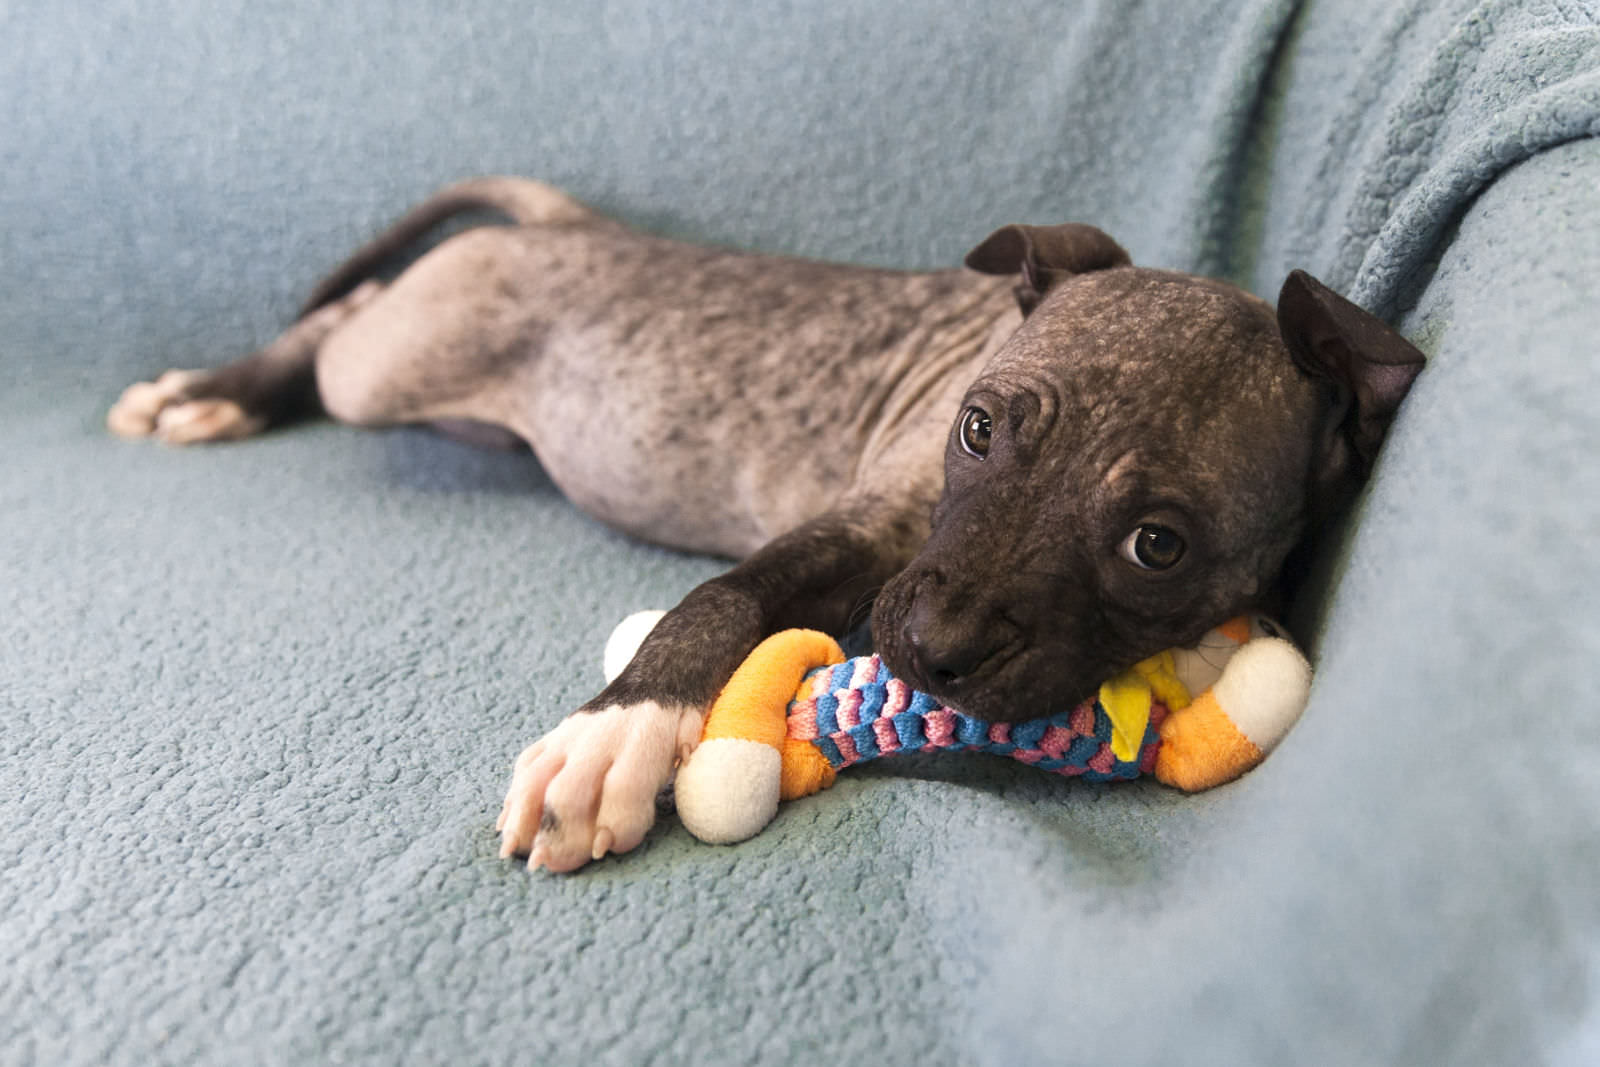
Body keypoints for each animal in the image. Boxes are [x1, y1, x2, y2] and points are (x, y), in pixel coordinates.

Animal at [106, 177, 1427, 876]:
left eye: (1158, 545)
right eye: (978, 428)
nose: (929, 648)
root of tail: (571, 226)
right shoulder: (866, 525)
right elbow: (724, 592)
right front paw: (618, 728)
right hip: (394, 360)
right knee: (347, 319)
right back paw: (215, 388)